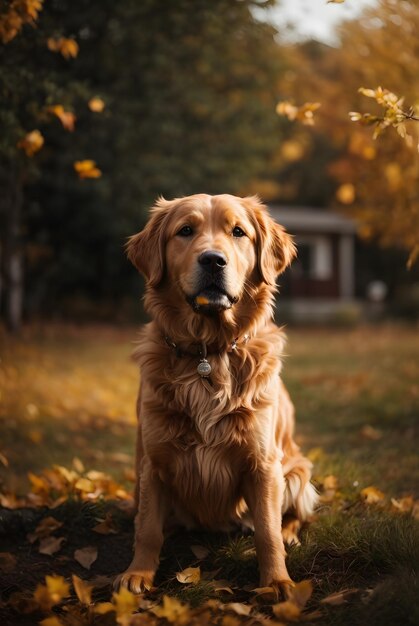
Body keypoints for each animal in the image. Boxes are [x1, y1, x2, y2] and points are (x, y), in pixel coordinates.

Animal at [115, 194, 318, 596]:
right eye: (185, 231)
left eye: (238, 232)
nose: (213, 260)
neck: (207, 351)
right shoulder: (153, 463)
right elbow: (147, 529)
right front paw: (138, 573)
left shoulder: (264, 465)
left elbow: (268, 531)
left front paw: (277, 581)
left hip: (297, 472)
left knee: (290, 517)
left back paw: (290, 536)